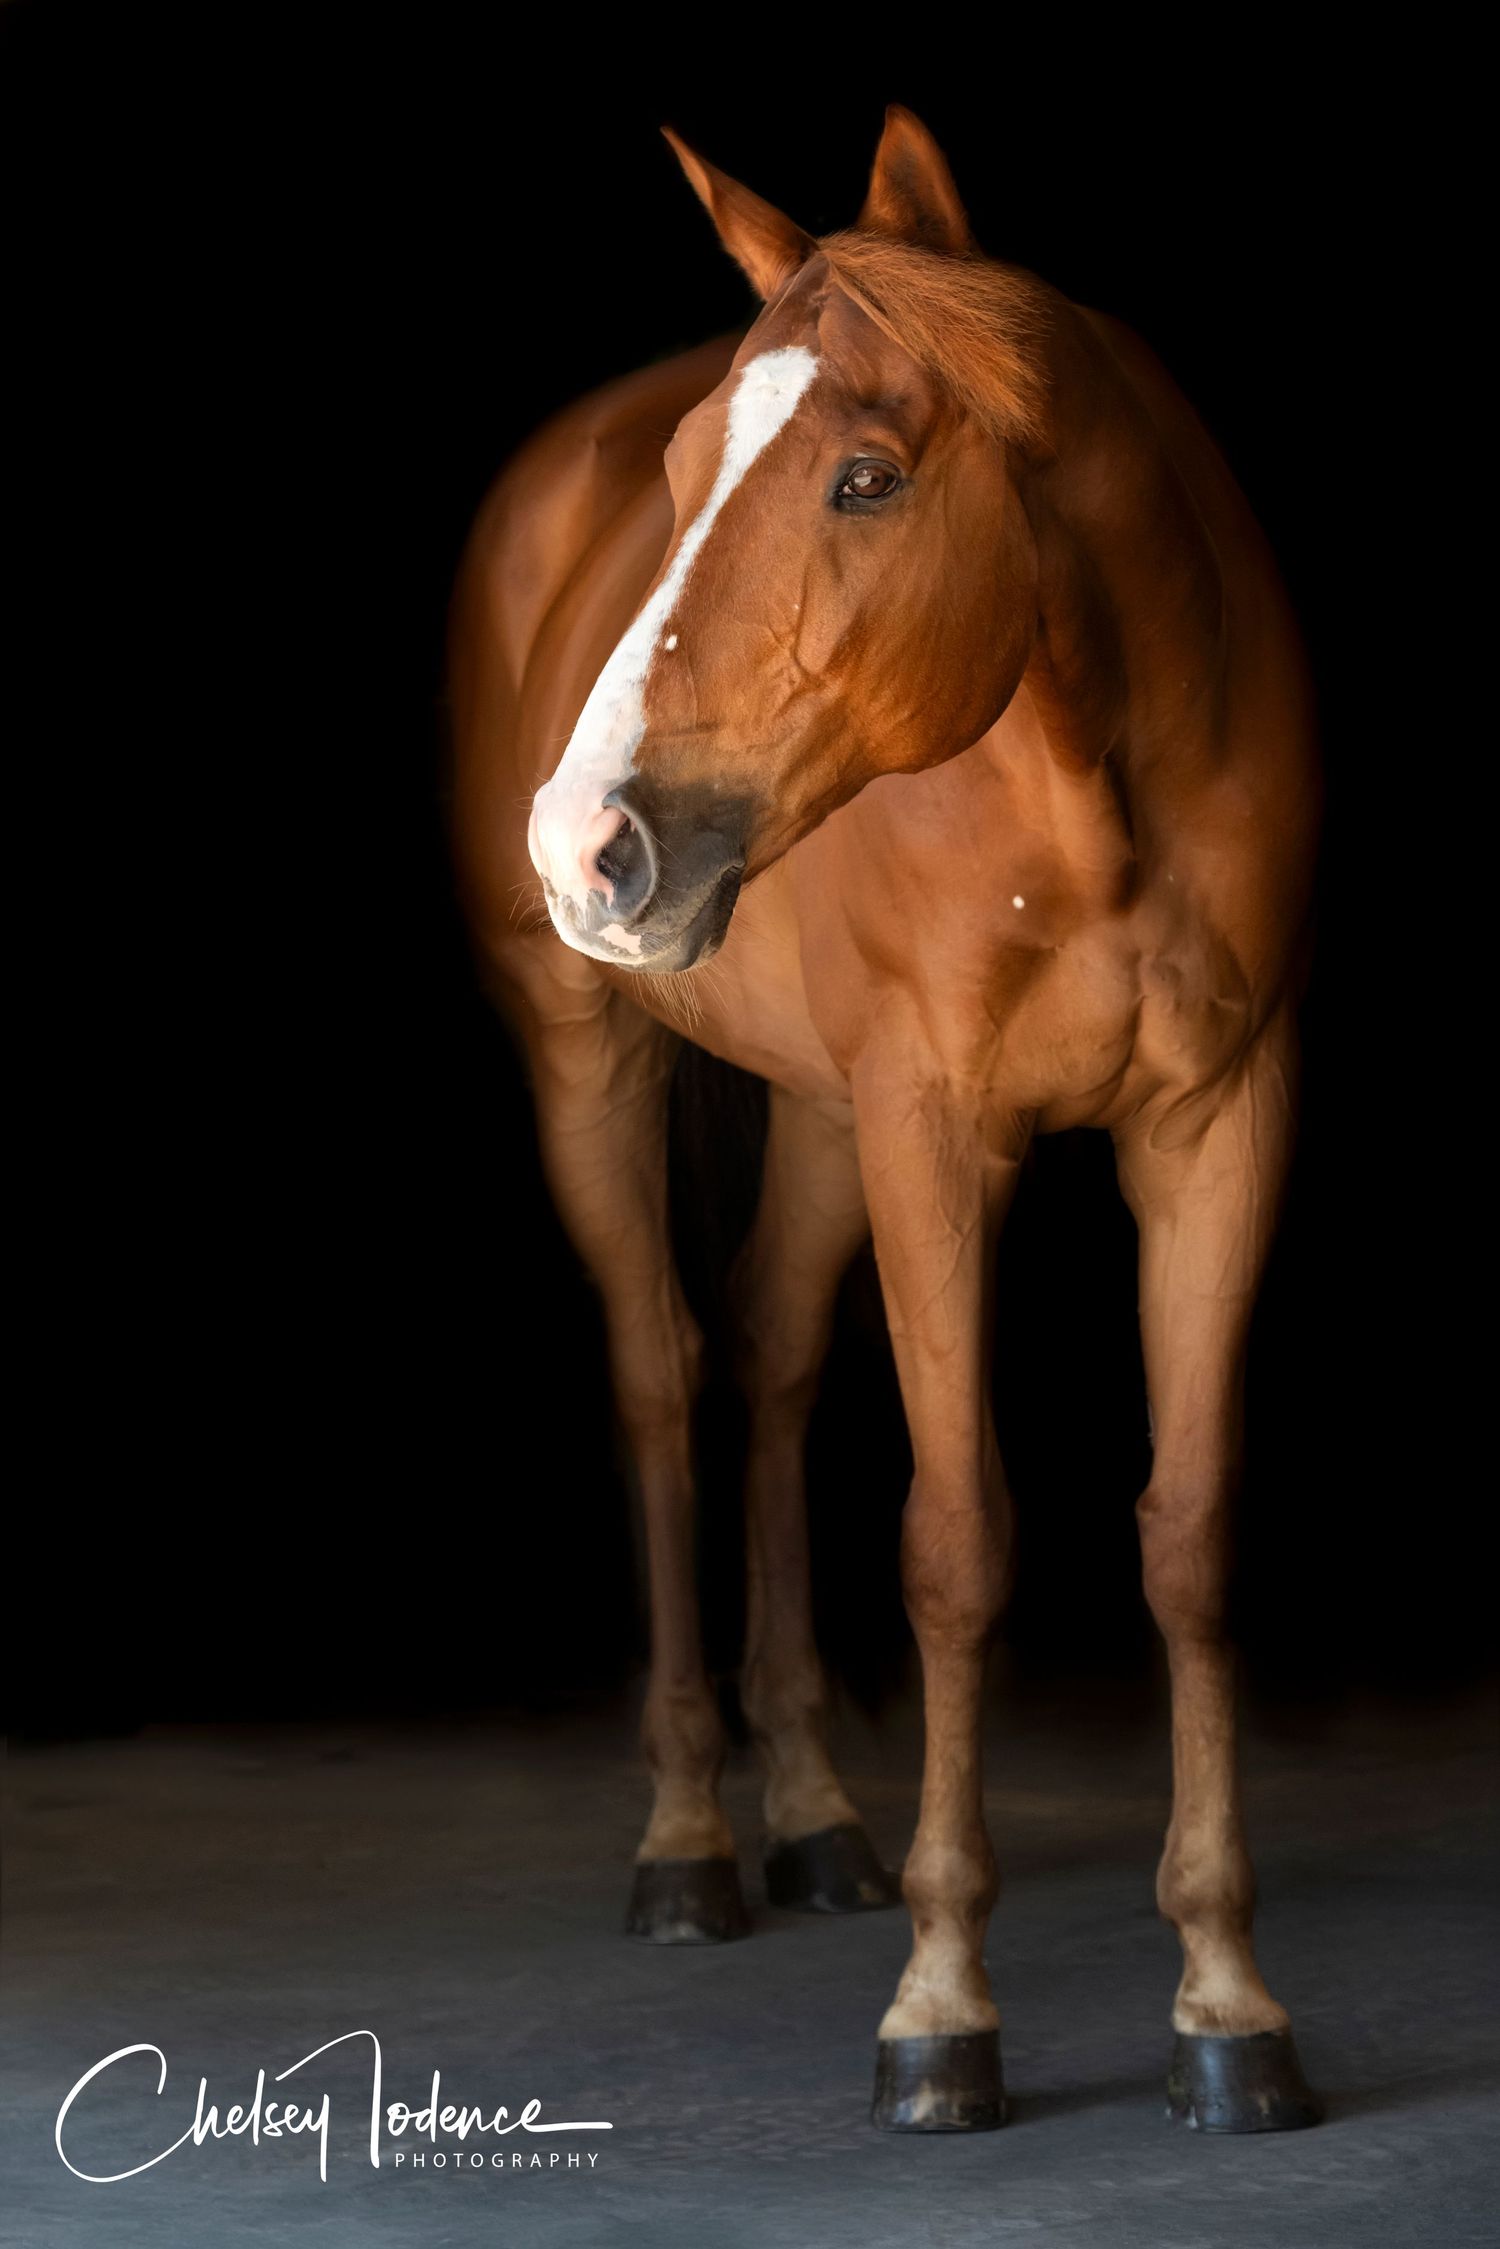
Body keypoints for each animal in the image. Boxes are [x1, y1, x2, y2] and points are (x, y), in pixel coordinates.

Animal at [448, 106, 1323, 2136]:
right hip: (592, 1062)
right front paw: (944, 2004)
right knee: (665, 1380)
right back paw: (693, 1837)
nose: (584, 841)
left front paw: (1228, 1998)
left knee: (769, 1363)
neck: (1091, 792)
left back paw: (815, 1814)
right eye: (680, 471)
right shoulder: (941, 1136)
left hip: (826, 1118)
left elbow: (1190, 1537)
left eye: (864, 478)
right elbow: (953, 1543)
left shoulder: (1217, 1126)